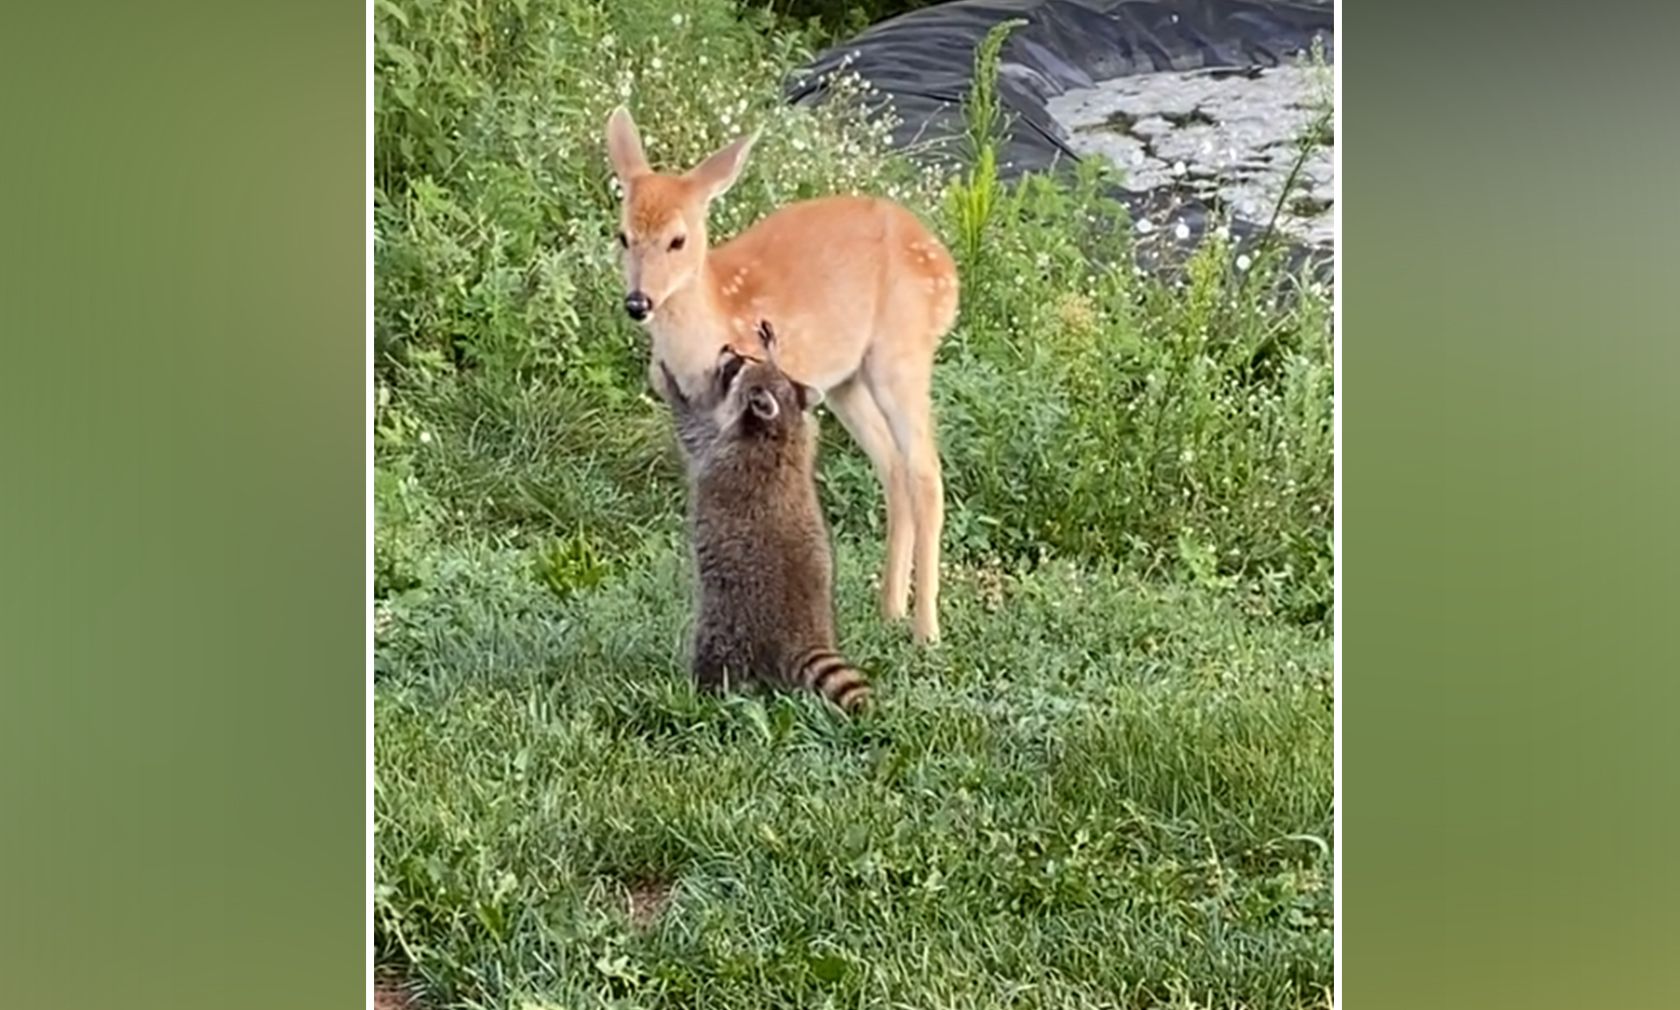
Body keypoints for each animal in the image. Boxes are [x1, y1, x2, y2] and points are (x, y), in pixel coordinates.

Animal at [604, 105, 959, 645]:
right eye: (623, 236)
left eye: (677, 240)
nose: (638, 302)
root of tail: (949, 271)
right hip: (846, 380)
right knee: (894, 468)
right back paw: (890, 611)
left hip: (901, 354)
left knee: (926, 472)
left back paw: (926, 632)